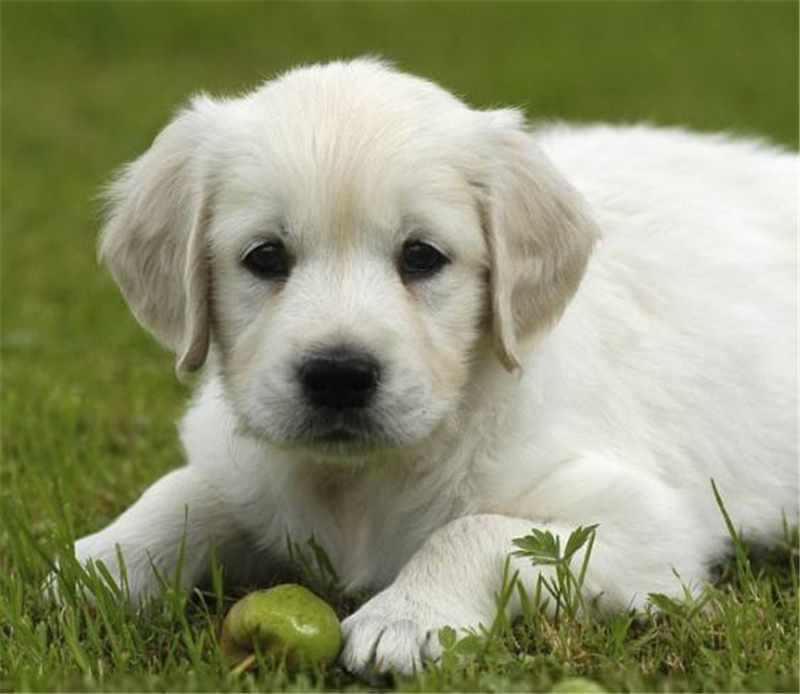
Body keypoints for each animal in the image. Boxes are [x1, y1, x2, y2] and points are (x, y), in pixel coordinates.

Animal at [70, 58, 798, 674]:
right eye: (265, 256)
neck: (360, 482)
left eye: (421, 256)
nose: (338, 375)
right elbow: (183, 491)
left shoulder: (644, 526)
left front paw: (406, 617)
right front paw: (95, 565)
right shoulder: (243, 467)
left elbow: (474, 530)